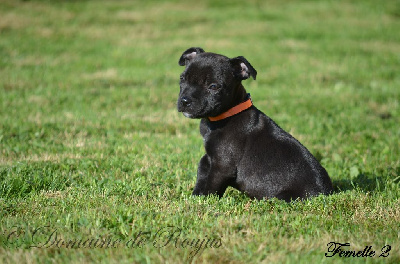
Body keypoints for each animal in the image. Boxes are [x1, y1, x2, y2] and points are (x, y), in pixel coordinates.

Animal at [177, 47, 332, 201]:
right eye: (182, 78)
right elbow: (201, 176)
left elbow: (211, 186)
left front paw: (205, 201)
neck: (226, 115)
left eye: (213, 86)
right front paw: (195, 198)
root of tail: (327, 192)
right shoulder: (208, 159)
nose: (185, 100)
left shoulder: (222, 166)